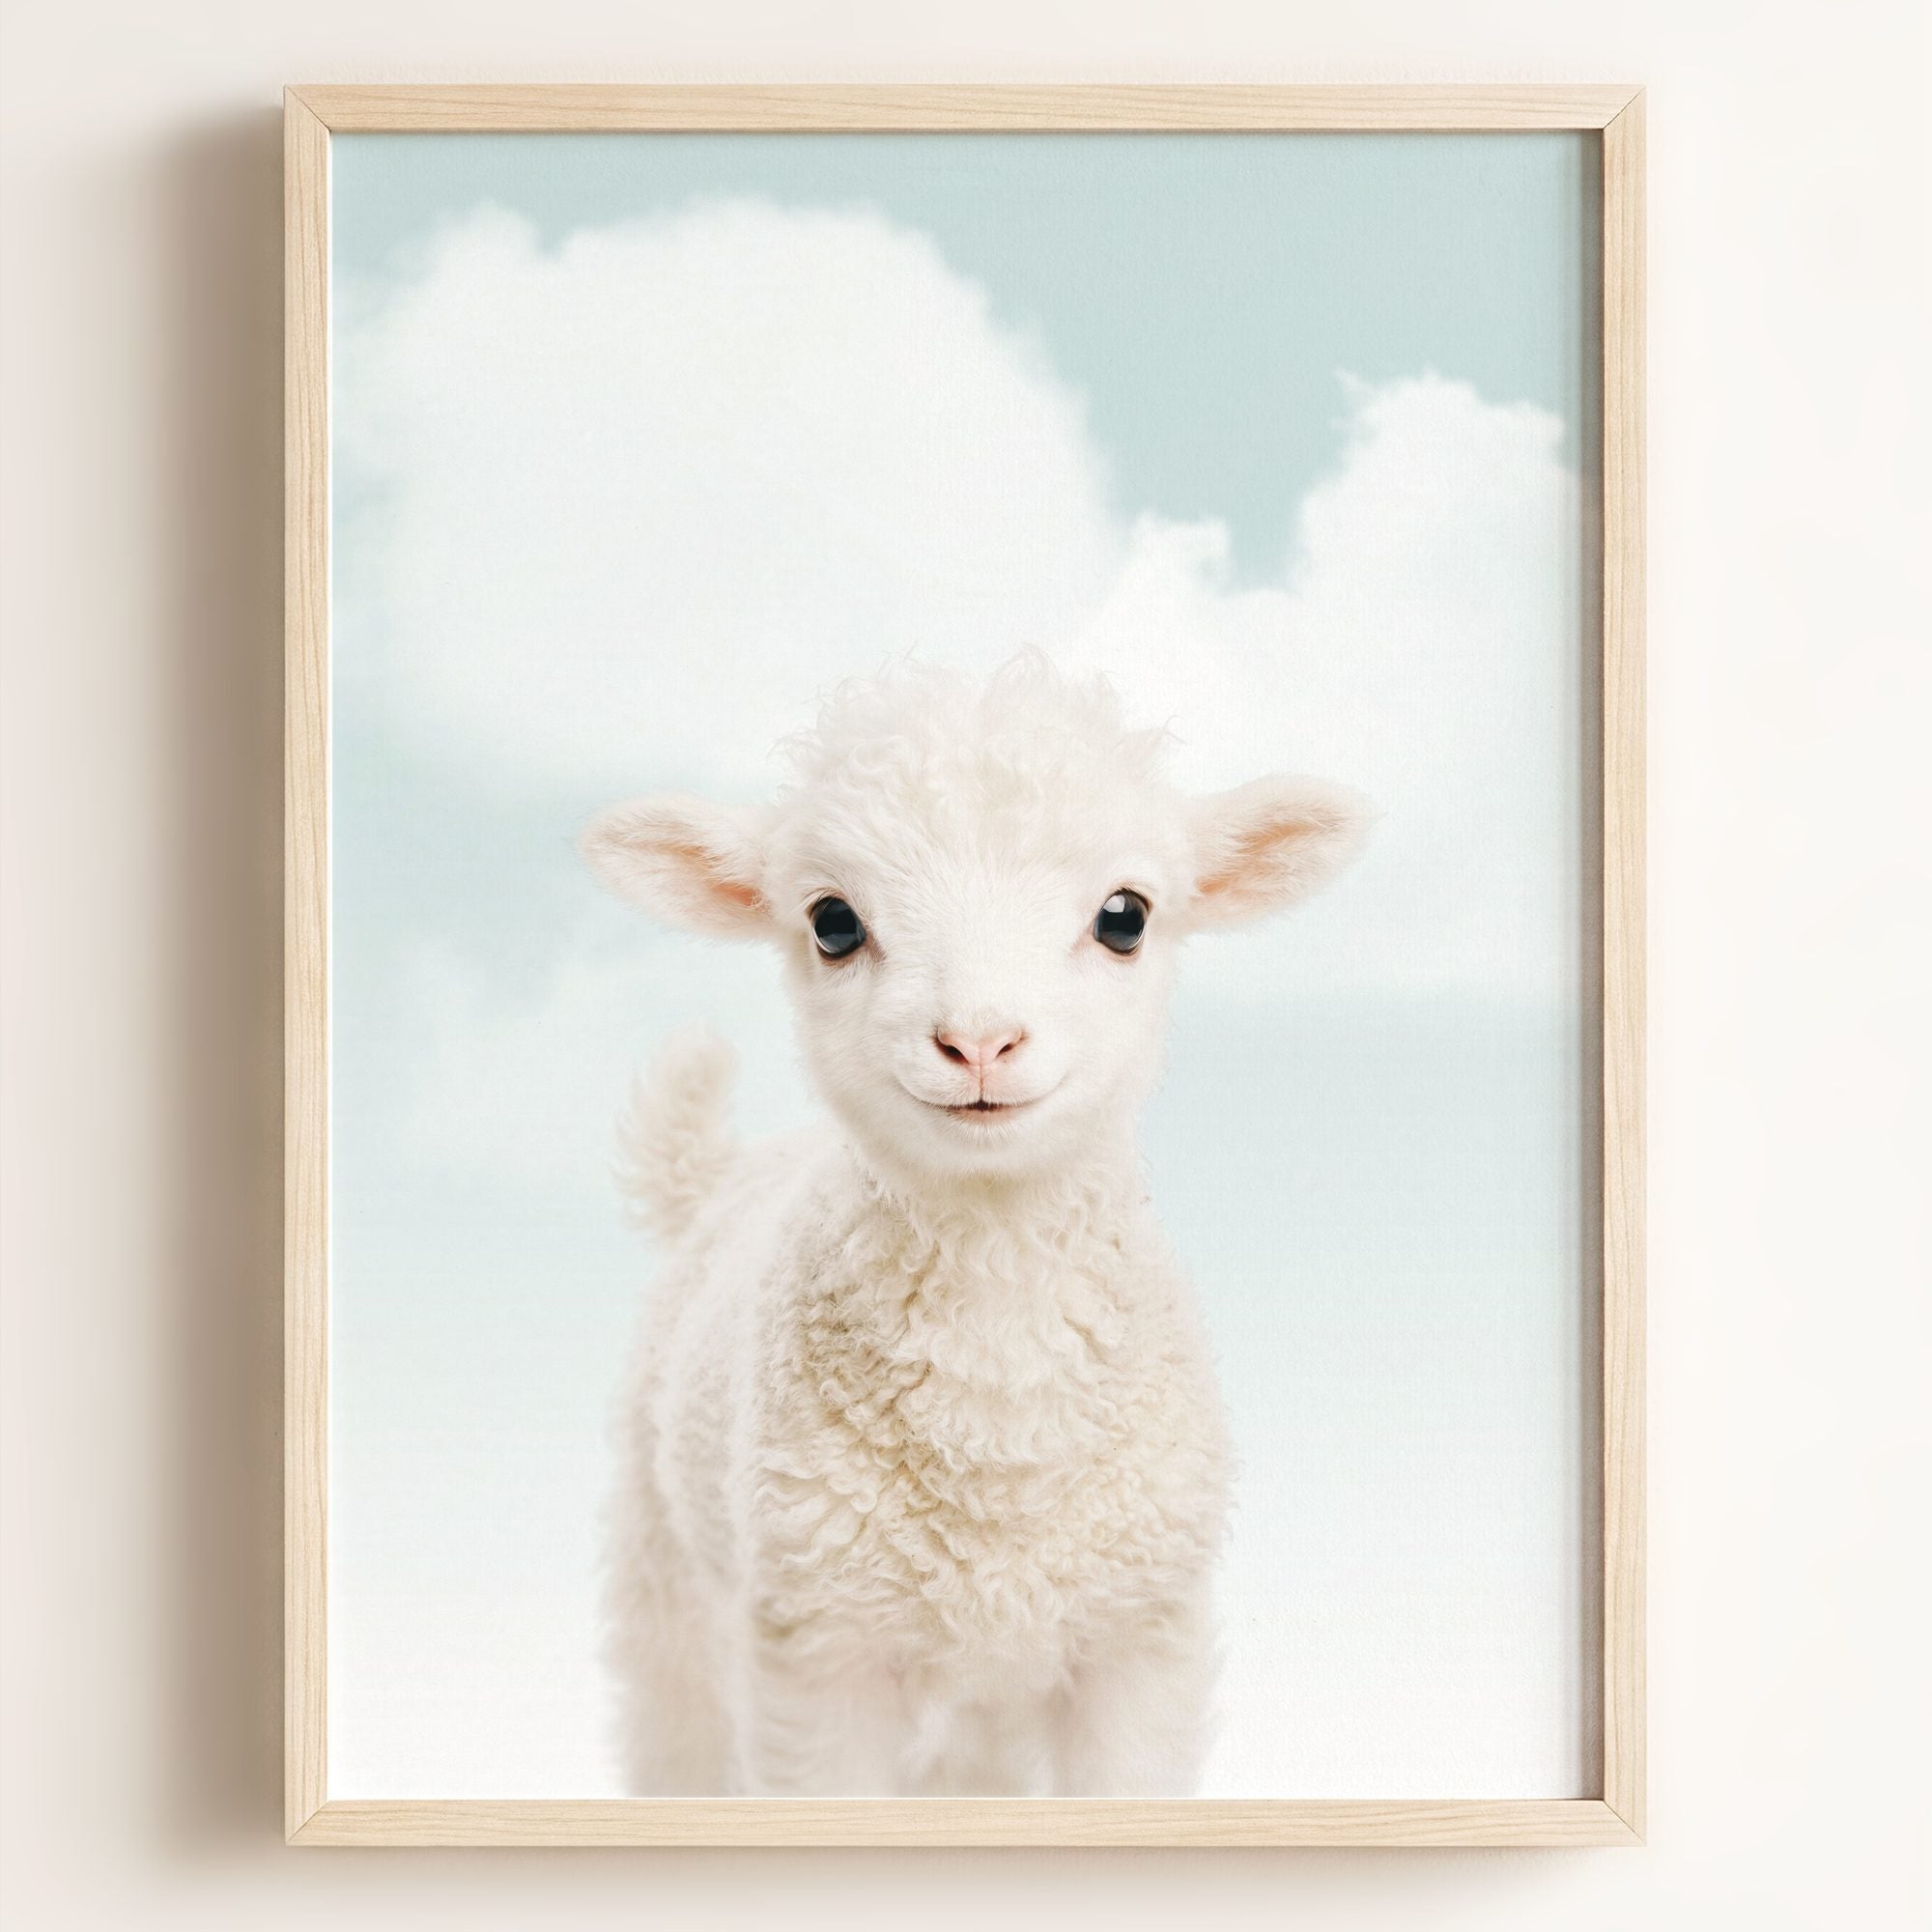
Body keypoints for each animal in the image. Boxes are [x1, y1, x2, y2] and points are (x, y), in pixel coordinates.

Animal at [581, 655, 1368, 1797]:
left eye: (1125, 915)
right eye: (832, 921)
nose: (980, 1040)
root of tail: (724, 1173)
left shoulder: (1138, 1639)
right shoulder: (817, 1651)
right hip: (668, 1575)